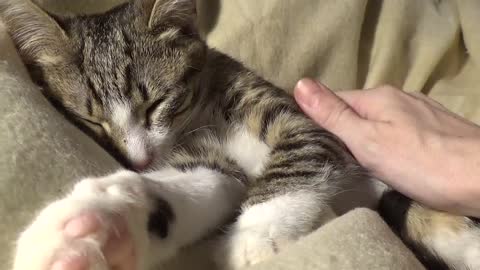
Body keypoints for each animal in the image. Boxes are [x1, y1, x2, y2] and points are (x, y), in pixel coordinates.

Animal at [2, 0, 480, 270]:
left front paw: (255, 235)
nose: (138, 160)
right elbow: (198, 181)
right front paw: (95, 227)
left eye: (156, 103)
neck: (205, 110)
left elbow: (300, 154)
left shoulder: (309, 121)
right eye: (93, 122)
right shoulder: (204, 156)